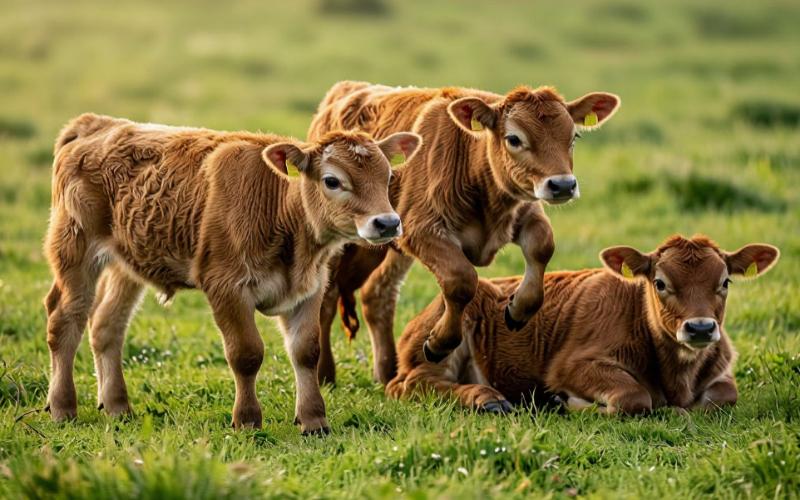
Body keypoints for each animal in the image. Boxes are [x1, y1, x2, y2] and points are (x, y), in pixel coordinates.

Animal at [43, 113, 420, 433]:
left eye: (388, 176)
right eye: (332, 180)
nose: (387, 223)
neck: (280, 211)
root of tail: (97, 123)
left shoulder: (310, 288)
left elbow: (306, 352)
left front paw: (314, 420)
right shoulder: (226, 287)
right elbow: (246, 354)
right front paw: (248, 419)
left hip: (127, 264)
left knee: (106, 326)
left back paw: (117, 406)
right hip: (75, 250)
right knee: (65, 321)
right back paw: (63, 407)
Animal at [308, 81, 620, 384]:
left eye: (574, 137)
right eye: (514, 139)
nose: (563, 185)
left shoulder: (526, 212)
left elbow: (542, 247)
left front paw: (518, 309)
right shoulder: (422, 230)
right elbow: (461, 280)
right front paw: (439, 343)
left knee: (378, 294)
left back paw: (387, 373)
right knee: (327, 298)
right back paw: (325, 374)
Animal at [386, 235, 779, 414]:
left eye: (725, 282)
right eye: (660, 282)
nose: (700, 328)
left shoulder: (722, 370)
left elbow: (724, 396)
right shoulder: (569, 366)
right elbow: (633, 396)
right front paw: (568, 402)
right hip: (440, 344)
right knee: (410, 385)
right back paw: (488, 399)